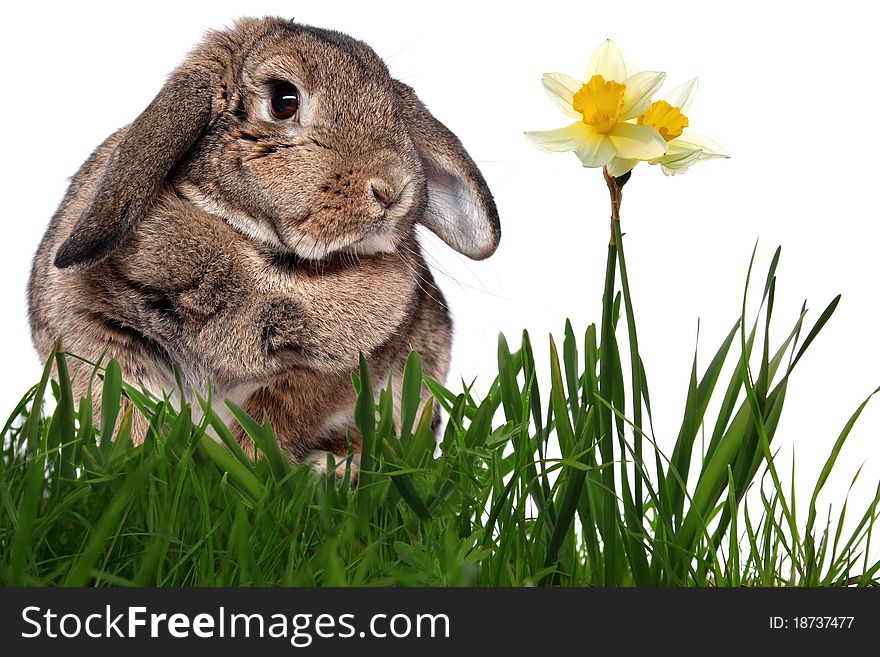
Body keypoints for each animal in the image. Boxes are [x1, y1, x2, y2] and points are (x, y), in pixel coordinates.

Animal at [25, 16, 502, 466]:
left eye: (396, 111)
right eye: (283, 100)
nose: (392, 189)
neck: (269, 256)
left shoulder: (323, 376)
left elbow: (268, 424)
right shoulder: (103, 340)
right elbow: (130, 416)